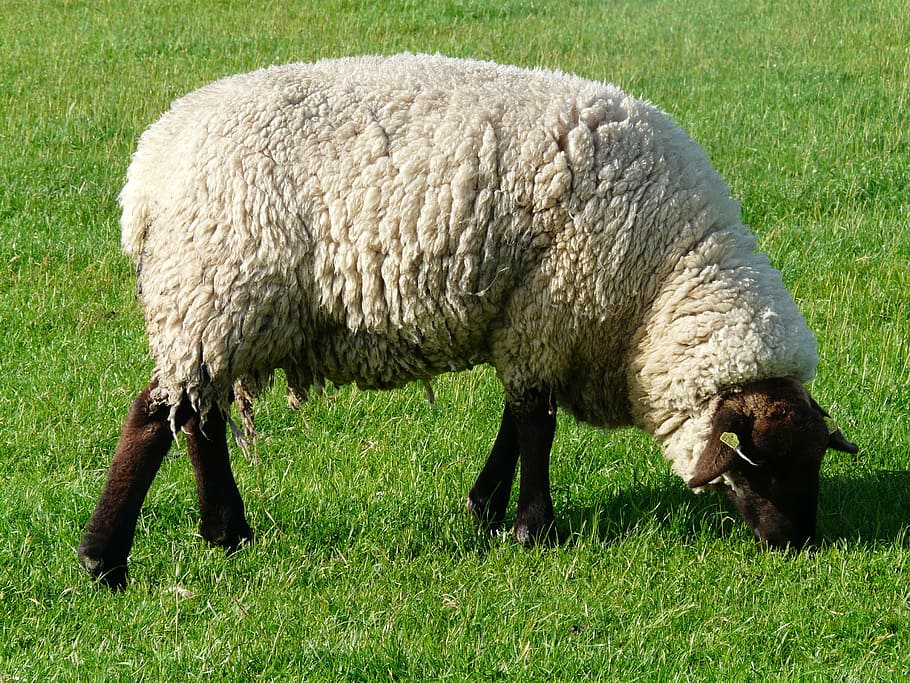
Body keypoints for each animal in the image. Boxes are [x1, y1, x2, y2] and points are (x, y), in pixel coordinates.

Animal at [78, 53, 857, 589]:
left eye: (816, 460)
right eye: (761, 463)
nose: (797, 544)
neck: (667, 273)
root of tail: (150, 167)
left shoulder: (530, 317)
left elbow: (519, 415)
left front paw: (486, 507)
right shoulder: (552, 303)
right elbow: (538, 422)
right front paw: (534, 529)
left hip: (214, 309)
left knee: (196, 415)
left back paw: (225, 531)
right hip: (215, 290)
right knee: (152, 415)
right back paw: (104, 559)